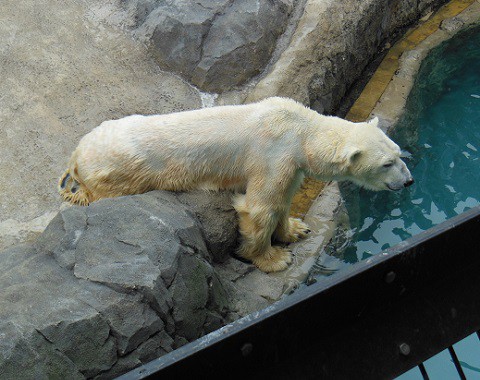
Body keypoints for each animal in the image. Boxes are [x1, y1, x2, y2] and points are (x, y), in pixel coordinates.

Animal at [59, 96, 412, 272]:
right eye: (387, 164)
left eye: (398, 153)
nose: (409, 180)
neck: (300, 130)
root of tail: (77, 154)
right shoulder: (273, 153)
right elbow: (259, 207)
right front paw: (274, 259)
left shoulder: (291, 163)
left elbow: (282, 200)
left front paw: (295, 229)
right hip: (120, 173)